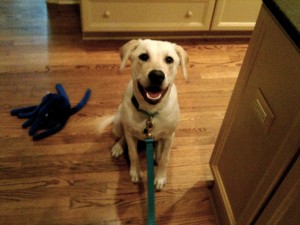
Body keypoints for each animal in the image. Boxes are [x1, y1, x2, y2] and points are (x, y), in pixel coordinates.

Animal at [111, 40, 189, 190]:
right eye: (143, 56)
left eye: (169, 59)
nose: (157, 75)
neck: (150, 113)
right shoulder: (131, 134)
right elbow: (133, 153)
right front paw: (135, 172)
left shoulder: (169, 136)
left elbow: (164, 158)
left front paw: (160, 177)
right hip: (117, 125)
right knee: (123, 135)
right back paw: (118, 146)